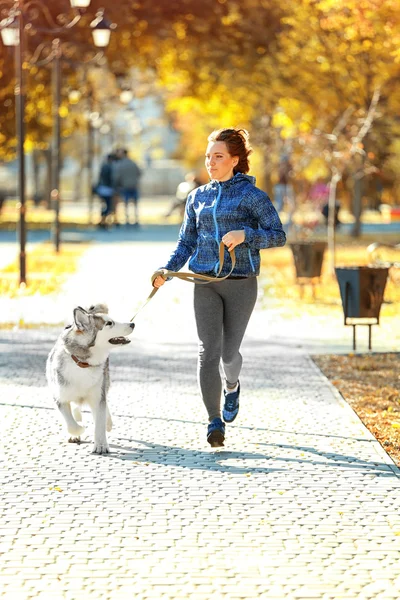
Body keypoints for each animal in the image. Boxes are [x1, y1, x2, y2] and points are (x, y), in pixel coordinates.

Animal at [46, 304, 135, 454]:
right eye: (109, 323)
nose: (132, 324)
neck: (82, 364)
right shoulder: (60, 398)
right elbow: (71, 424)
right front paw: (78, 430)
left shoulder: (98, 397)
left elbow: (99, 422)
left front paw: (101, 445)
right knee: (75, 408)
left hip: (105, 381)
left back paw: (108, 422)